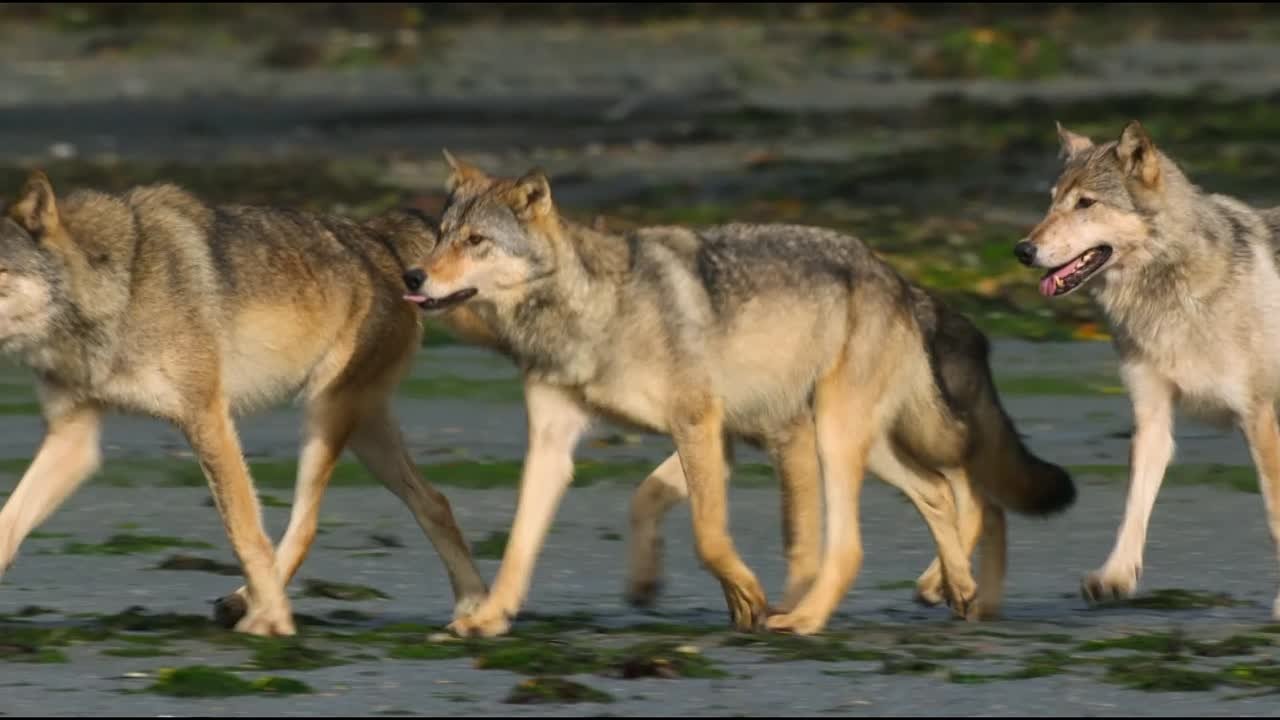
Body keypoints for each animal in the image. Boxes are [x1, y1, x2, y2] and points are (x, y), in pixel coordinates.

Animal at [0, 169, 483, 632]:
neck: (119, 286)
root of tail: (377, 233)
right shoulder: (73, 441)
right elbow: (7, 527)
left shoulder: (207, 418)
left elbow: (245, 532)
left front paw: (273, 620)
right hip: (367, 433)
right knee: (435, 502)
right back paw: (475, 610)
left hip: (325, 417)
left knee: (307, 526)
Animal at [404, 152, 1075, 632]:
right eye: (440, 235)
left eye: (475, 242)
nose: (412, 275)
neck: (590, 310)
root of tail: (895, 275)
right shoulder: (557, 444)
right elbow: (524, 543)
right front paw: (490, 616)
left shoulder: (698, 424)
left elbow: (709, 535)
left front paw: (748, 596)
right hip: (860, 443)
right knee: (938, 492)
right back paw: (957, 589)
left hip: (835, 441)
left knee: (861, 542)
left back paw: (805, 620)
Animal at [1018, 119, 1280, 617]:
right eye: (1052, 200)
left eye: (1086, 204)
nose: (1022, 250)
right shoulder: (1152, 418)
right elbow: (1134, 507)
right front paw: (1114, 577)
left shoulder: (1260, 418)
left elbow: (1275, 511)